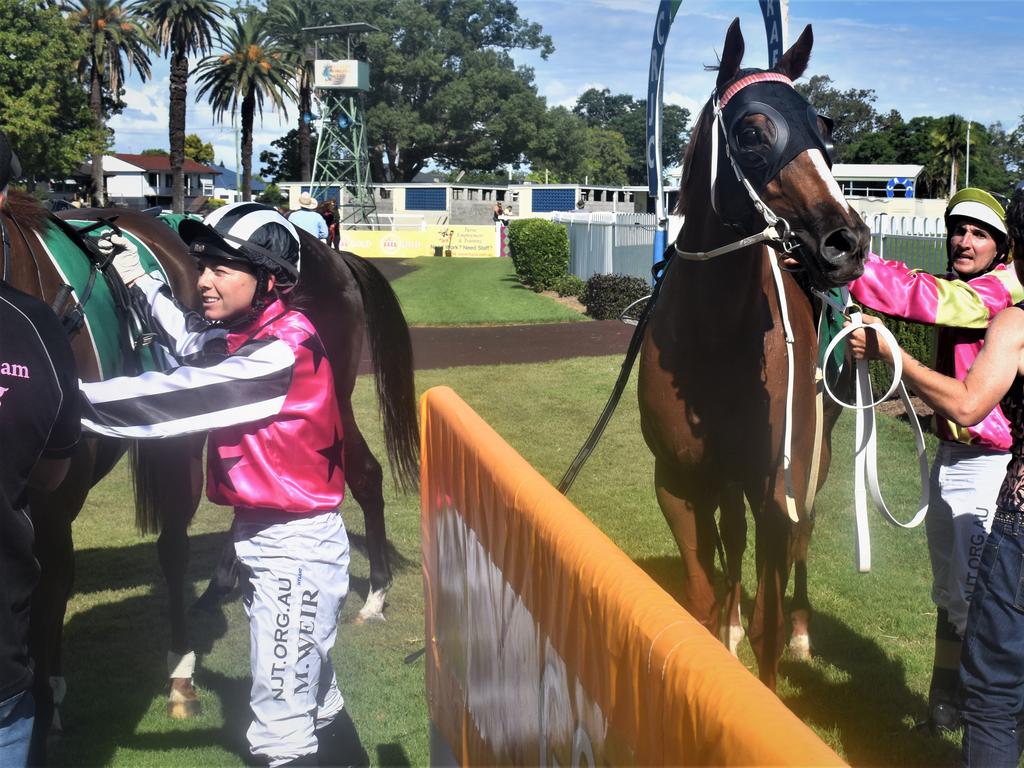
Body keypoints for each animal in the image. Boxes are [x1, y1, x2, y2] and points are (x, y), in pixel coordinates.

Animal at [2, 192, 415, 745]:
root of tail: (328, 251)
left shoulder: (56, 499)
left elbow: (49, 590)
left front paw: (48, 711)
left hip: (331, 399)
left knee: (363, 476)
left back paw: (372, 598)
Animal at [643, 20, 868, 688]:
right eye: (751, 132)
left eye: (824, 127)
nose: (846, 241)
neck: (714, 341)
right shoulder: (680, 482)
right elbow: (699, 594)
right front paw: (722, 628)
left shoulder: (777, 490)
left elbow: (771, 611)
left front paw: (771, 644)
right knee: (734, 537)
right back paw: (733, 623)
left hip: (816, 454)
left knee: (803, 536)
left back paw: (800, 630)